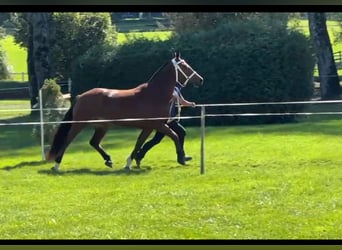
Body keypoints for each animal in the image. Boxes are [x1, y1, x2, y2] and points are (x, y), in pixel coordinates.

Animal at [45, 51, 203, 171]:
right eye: (185, 66)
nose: (200, 79)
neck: (154, 94)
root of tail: (81, 96)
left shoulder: (149, 127)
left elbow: (139, 143)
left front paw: (129, 163)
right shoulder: (158, 125)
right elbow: (175, 136)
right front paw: (181, 158)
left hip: (102, 126)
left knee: (94, 142)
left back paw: (108, 160)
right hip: (79, 124)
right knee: (67, 141)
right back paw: (56, 165)